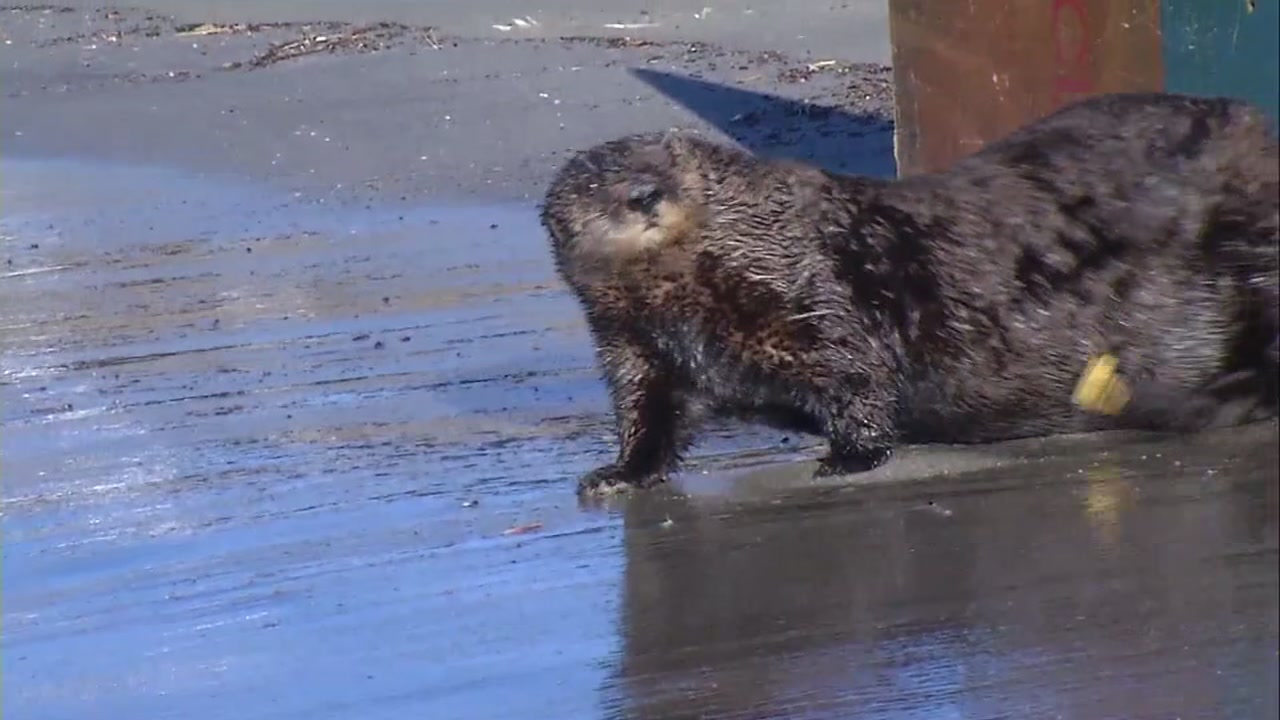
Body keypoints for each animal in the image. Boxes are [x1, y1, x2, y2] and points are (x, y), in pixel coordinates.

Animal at [540, 91, 1280, 494]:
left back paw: (1212, 398)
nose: (644, 195)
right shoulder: (634, 344)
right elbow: (649, 413)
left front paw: (847, 458)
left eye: (668, 164)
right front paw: (615, 475)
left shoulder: (816, 289)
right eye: (591, 187)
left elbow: (857, 375)